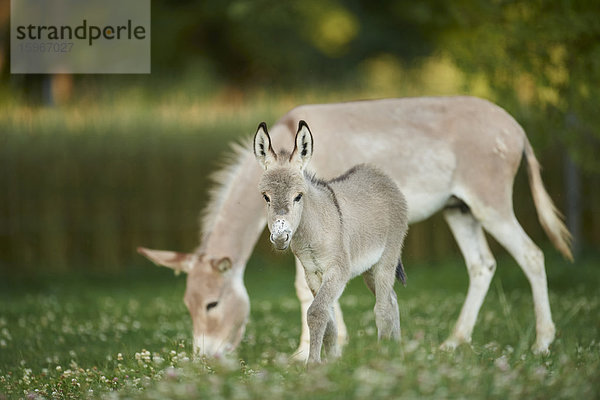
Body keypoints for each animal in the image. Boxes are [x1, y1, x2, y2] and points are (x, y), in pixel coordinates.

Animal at [253, 119, 408, 362]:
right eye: (266, 197)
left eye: (299, 196)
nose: (280, 237)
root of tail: (379, 174)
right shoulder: (312, 274)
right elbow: (329, 322)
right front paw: (333, 362)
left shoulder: (338, 270)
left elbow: (316, 312)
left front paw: (313, 364)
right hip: (369, 268)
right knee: (392, 301)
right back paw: (398, 351)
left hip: (387, 258)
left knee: (383, 309)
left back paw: (383, 354)